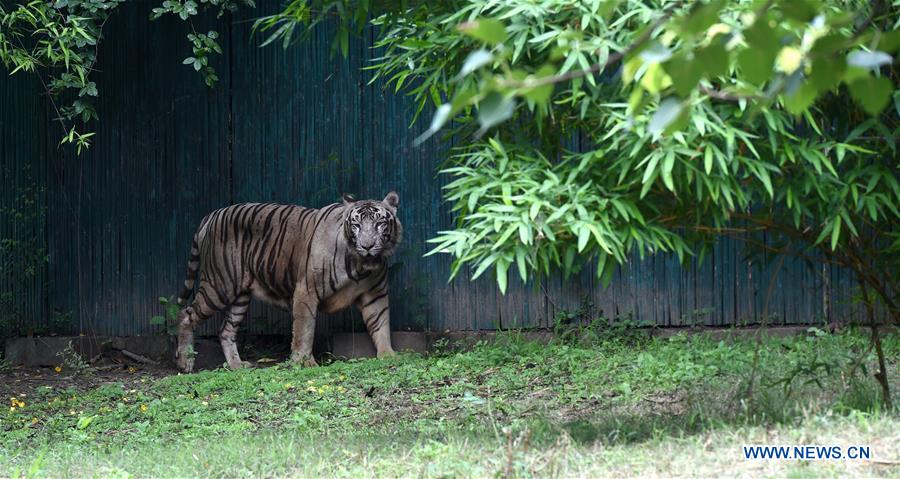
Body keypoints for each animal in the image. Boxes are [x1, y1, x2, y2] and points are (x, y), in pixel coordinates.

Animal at [173, 192, 402, 373]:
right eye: (356, 225)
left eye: (379, 223)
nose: (367, 246)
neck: (362, 265)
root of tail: (211, 214)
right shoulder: (306, 290)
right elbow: (304, 329)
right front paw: (304, 362)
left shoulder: (375, 294)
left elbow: (381, 324)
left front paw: (388, 355)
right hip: (220, 284)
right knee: (185, 314)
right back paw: (185, 363)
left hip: (240, 296)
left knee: (226, 330)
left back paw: (237, 365)